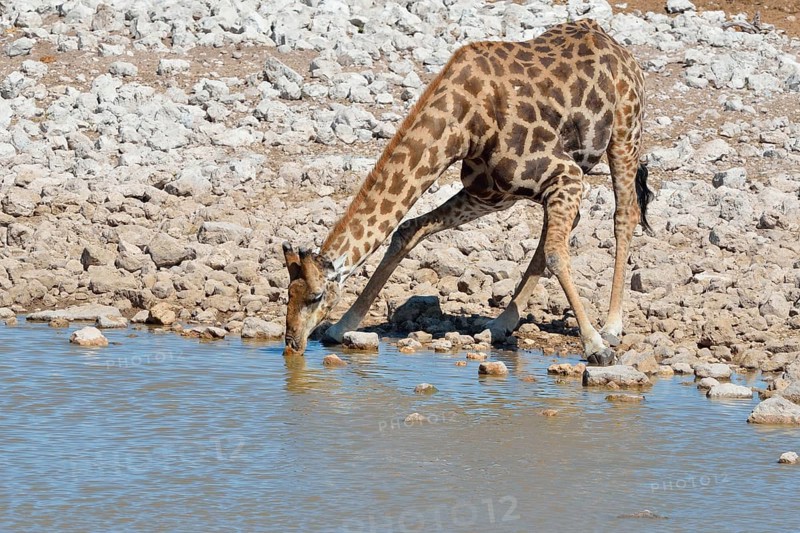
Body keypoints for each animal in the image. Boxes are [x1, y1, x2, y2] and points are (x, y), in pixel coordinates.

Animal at [282, 19, 653, 365]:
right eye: (289, 293)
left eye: (316, 297)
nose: (292, 344)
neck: (465, 123)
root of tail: (615, 43)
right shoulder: (488, 193)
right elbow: (408, 229)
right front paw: (341, 327)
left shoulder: (565, 173)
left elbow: (557, 255)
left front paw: (596, 347)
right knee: (559, 231)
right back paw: (501, 324)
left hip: (625, 131)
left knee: (624, 215)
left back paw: (611, 327)